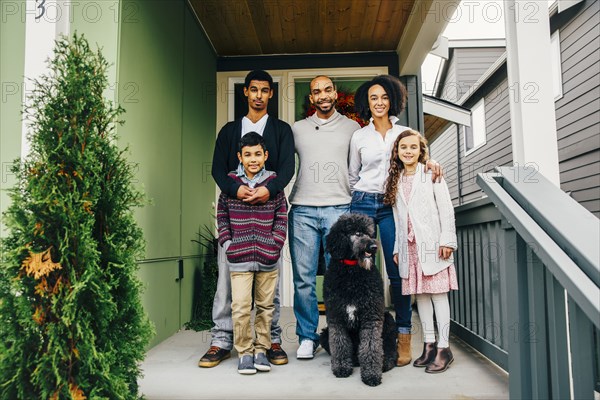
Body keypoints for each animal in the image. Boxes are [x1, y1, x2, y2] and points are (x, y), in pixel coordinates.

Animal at [318, 214, 398, 386]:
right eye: (357, 233)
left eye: (369, 232)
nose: (374, 247)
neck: (352, 271)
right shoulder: (336, 317)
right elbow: (340, 343)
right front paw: (342, 368)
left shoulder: (371, 317)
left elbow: (371, 346)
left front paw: (371, 375)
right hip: (324, 334)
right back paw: (353, 361)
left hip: (388, 321)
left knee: (389, 348)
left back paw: (385, 362)